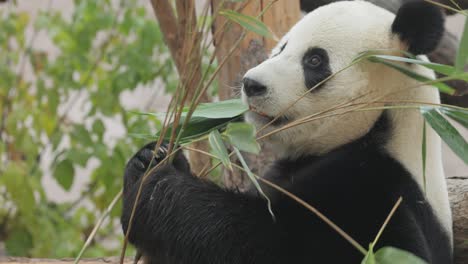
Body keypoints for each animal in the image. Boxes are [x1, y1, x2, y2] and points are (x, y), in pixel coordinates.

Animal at [120, 1, 454, 262]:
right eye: (281, 47)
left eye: (315, 60)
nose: (251, 84)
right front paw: (154, 156)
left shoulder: (377, 193)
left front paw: (153, 184)